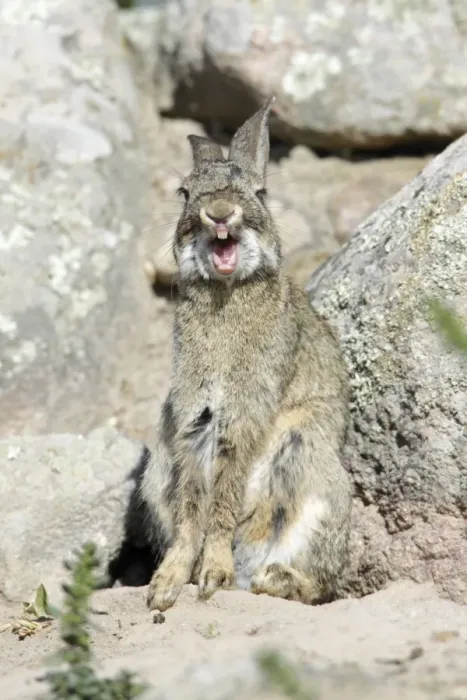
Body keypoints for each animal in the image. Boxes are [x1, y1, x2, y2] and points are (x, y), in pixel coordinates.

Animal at [140, 97, 352, 612]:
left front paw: (212, 575)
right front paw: (168, 584)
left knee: (318, 583)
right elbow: (195, 500)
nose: (220, 214)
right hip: (155, 474)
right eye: (185, 193)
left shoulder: (246, 405)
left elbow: (224, 492)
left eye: (259, 191)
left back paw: (274, 579)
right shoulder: (194, 414)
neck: (227, 293)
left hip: (314, 476)